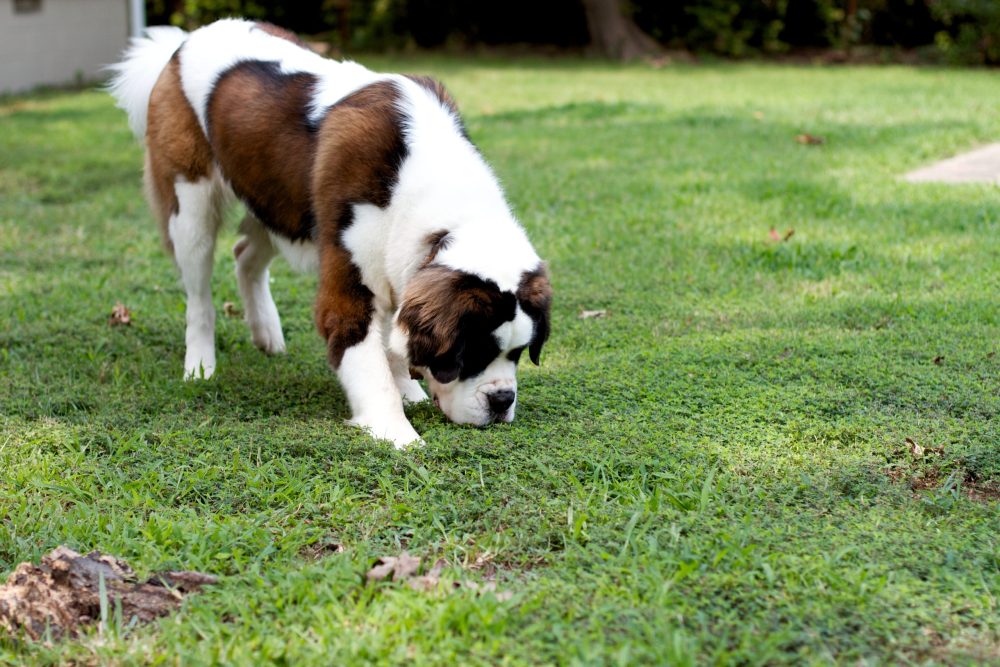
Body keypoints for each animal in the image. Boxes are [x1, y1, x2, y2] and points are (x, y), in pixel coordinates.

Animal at [109, 19, 556, 448]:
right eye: (473, 353)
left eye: (518, 354)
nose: (502, 400)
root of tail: (180, 44)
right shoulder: (351, 277)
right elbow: (365, 354)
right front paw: (397, 431)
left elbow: (394, 337)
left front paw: (407, 387)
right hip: (192, 204)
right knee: (199, 294)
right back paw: (201, 365)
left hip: (280, 201)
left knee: (245, 254)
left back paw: (266, 332)